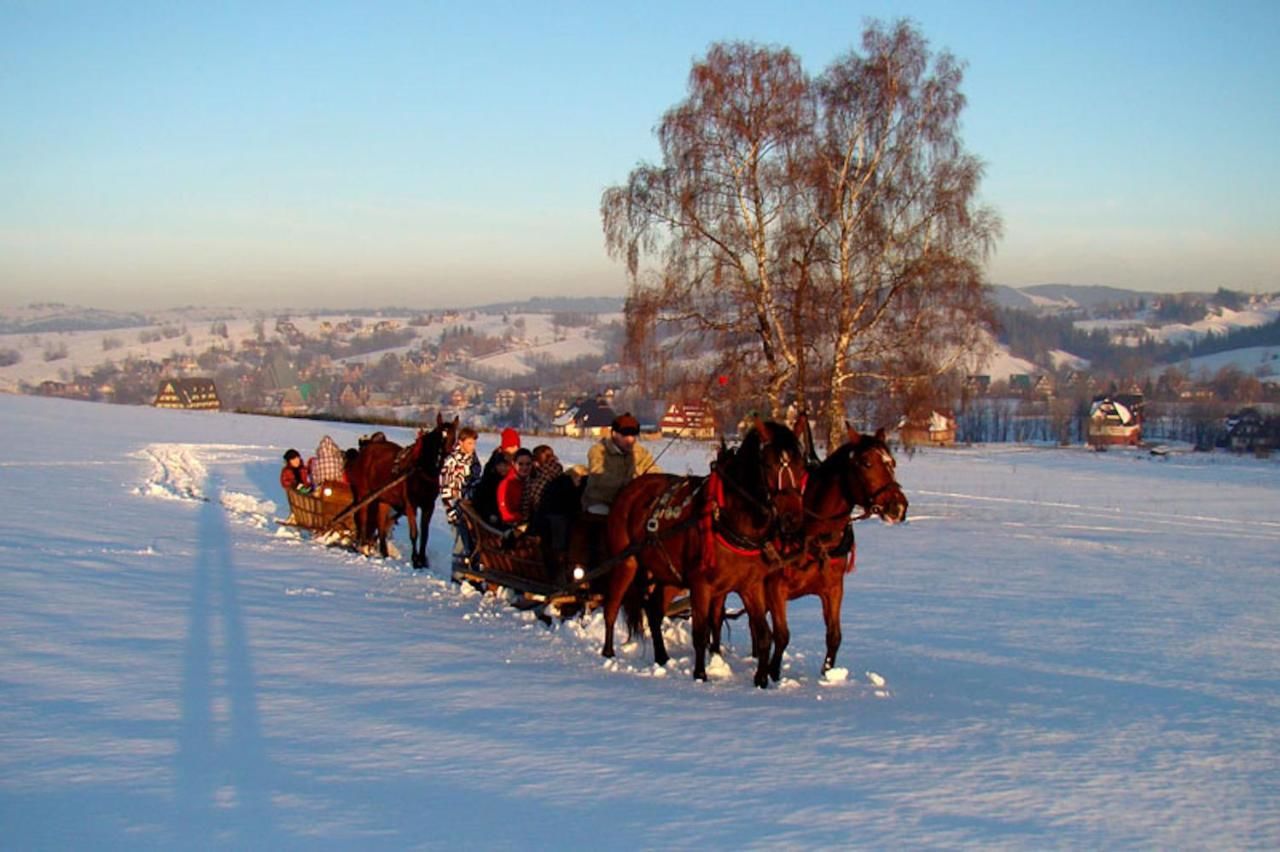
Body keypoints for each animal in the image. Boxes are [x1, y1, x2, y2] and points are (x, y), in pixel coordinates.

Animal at [343, 414, 458, 568]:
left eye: (453, 437)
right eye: (438, 436)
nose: (441, 460)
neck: (421, 470)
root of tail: (364, 452)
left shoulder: (428, 506)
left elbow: (425, 534)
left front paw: (422, 560)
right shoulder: (410, 505)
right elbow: (414, 533)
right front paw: (415, 560)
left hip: (383, 498)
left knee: (381, 524)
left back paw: (384, 552)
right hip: (363, 493)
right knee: (362, 517)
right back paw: (362, 546)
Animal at [599, 414, 798, 685]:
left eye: (800, 465)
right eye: (769, 465)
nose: (791, 519)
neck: (726, 517)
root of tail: (630, 488)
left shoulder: (751, 586)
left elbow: (764, 633)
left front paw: (761, 679)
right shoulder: (701, 585)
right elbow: (701, 632)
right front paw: (700, 674)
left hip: (668, 574)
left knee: (654, 611)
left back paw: (662, 657)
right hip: (626, 563)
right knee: (612, 606)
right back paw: (608, 652)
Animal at [757, 422, 911, 675]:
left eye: (892, 463)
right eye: (866, 463)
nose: (897, 507)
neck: (814, 534)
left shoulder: (833, 588)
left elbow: (834, 636)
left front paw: (827, 674)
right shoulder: (775, 587)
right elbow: (781, 636)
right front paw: (773, 673)